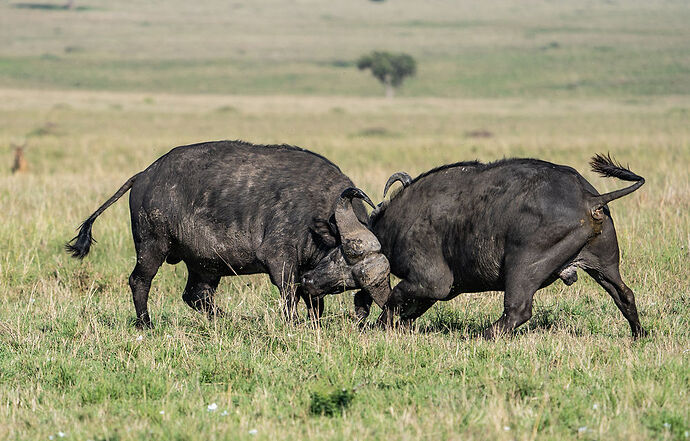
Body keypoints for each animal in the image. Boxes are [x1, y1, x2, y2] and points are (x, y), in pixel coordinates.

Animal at [67, 139, 390, 328]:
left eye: (346, 283)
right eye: (340, 258)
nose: (311, 281)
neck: (319, 211)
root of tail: (145, 174)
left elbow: (313, 302)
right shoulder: (280, 259)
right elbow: (289, 295)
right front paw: (294, 325)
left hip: (205, 264)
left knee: (196, 296)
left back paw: (228, 319)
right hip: (152, 246)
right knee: (139, 281)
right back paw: (145, 324)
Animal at [352, 153, 648, 338]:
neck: (399, 221)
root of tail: (589, 198)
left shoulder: (432, 282)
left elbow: (395, 298)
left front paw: (378, 325)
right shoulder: (432, 289)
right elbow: (410, 308)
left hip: (523, 265)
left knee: (518, 310)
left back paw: (483, 334)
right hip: (604, 265)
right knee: (625, 295)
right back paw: (639, 334)